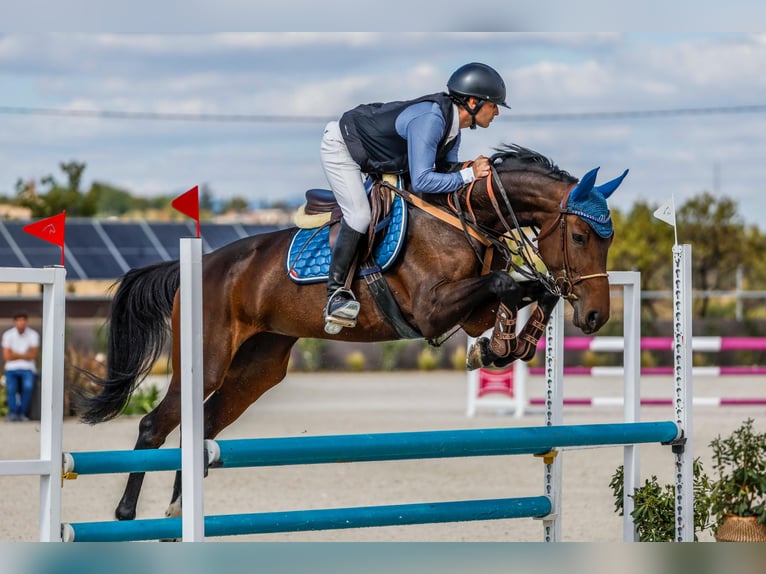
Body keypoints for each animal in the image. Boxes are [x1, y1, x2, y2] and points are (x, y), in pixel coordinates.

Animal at [76, 144, 628, 522]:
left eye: (608, 240)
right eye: (580, 236)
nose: (595, 317)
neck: (466, 217)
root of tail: (199, 265)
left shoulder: (467, 310)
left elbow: (527, 290)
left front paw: (502, 346)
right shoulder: (431, 309)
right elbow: (507, 282)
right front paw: (498, 344)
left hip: (258, 368)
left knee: (205, 425)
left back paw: (178, 508)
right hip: (208, 360)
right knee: (156, 424)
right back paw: (127, 515)